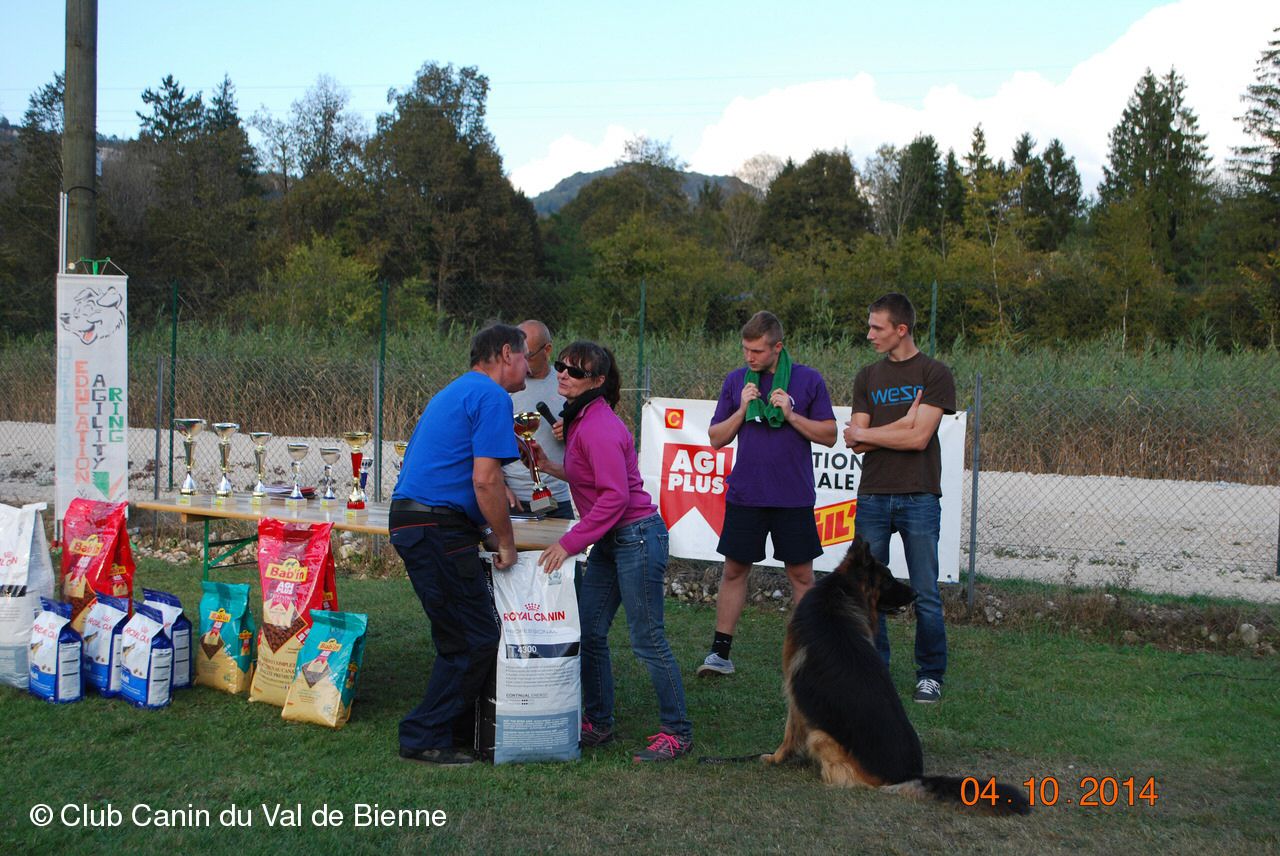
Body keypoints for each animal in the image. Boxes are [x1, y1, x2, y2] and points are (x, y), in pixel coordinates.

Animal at [757, 534, 1029, 813]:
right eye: (887, 578)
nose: (915, 593)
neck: (842, 593)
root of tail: (910, 776)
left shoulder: (794, 692)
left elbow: (790, 733)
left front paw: (774, 757)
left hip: (820, 736)